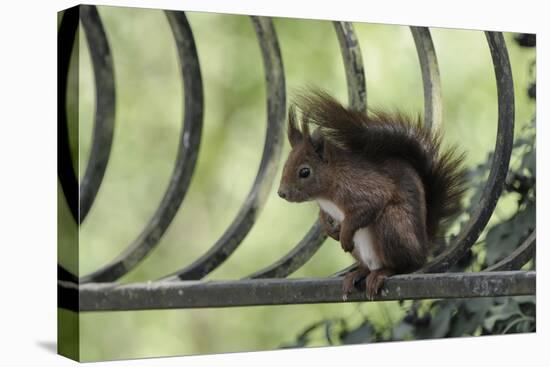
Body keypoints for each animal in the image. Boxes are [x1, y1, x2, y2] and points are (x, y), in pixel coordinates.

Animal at [278, 90, 468, 300]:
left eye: (304, 172)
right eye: (285, 165)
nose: (281, 193)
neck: (327, 192)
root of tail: (423, 250)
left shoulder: (364, 187)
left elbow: (368, 206)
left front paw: (344, 234)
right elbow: (323, 215)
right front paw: (328, 227)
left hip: (392, 225)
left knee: (403, 266)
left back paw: (382, 273)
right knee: (368, 267)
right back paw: (356, 274)